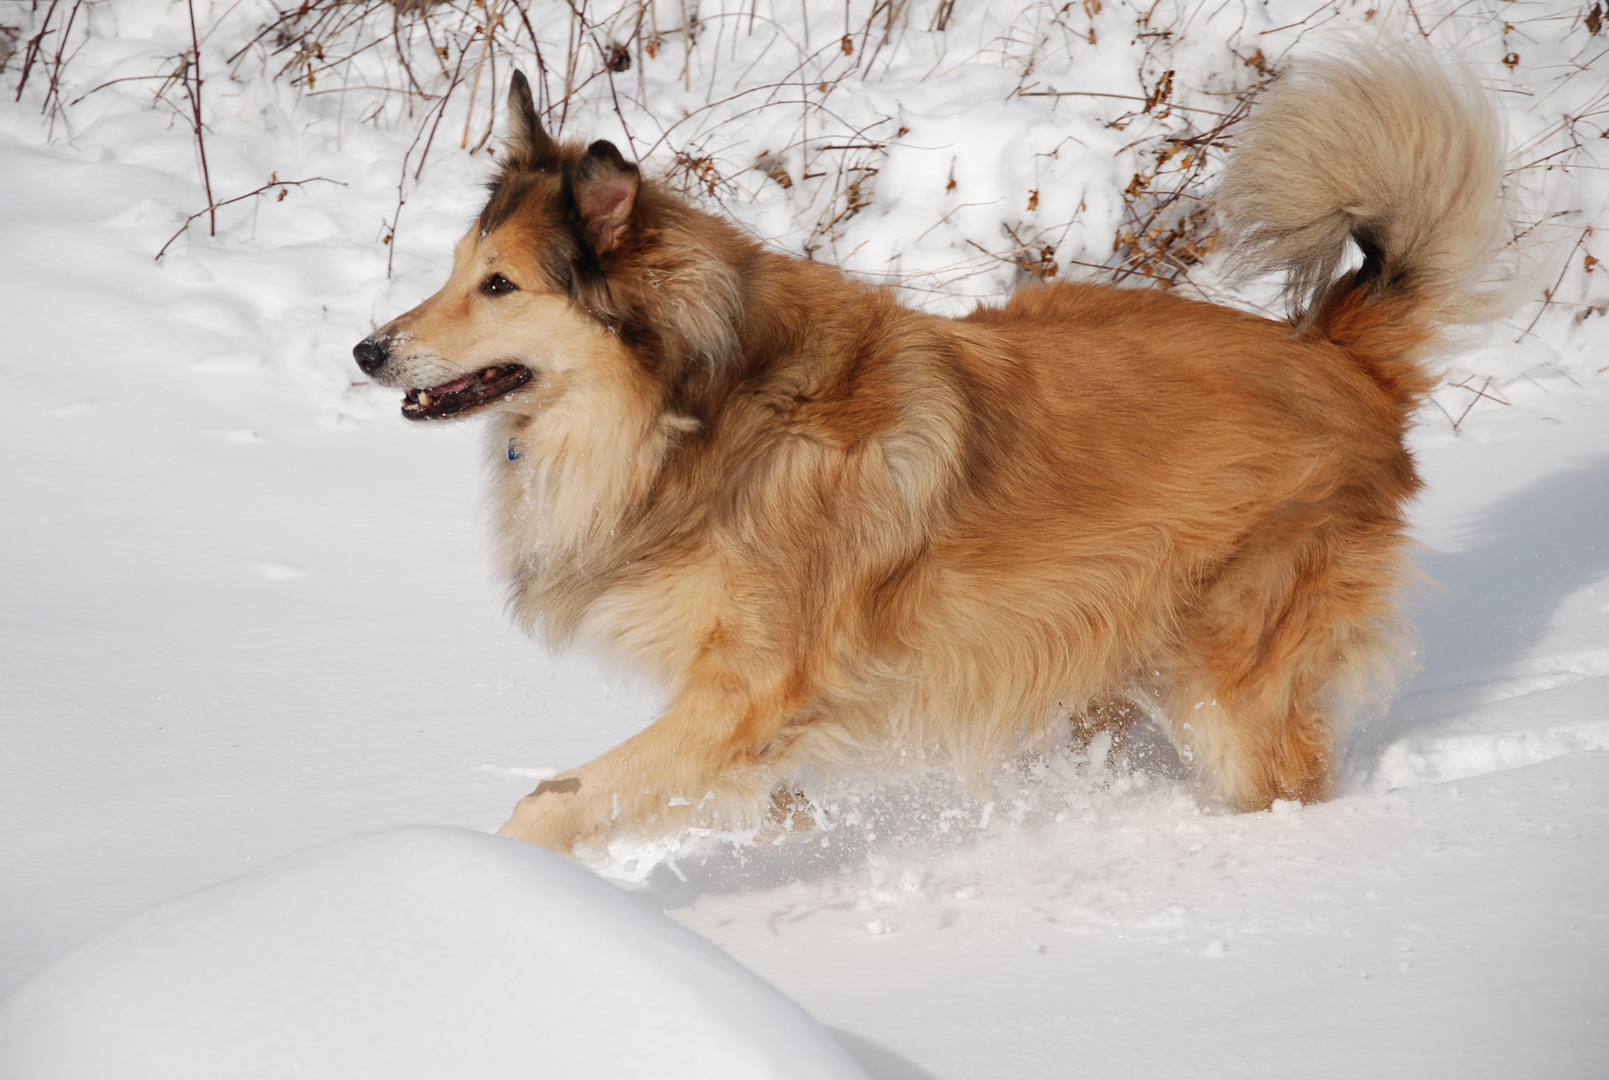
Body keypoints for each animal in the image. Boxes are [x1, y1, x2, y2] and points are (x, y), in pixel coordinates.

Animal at [352, 48, 1506, 856]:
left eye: (499, 285)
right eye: (455, 269)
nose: (367, 351)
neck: (710, 408)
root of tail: (1337, 356)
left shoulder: (747, 692)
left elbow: (553, 804)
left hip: (1225, 676)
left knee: (1282, 781)